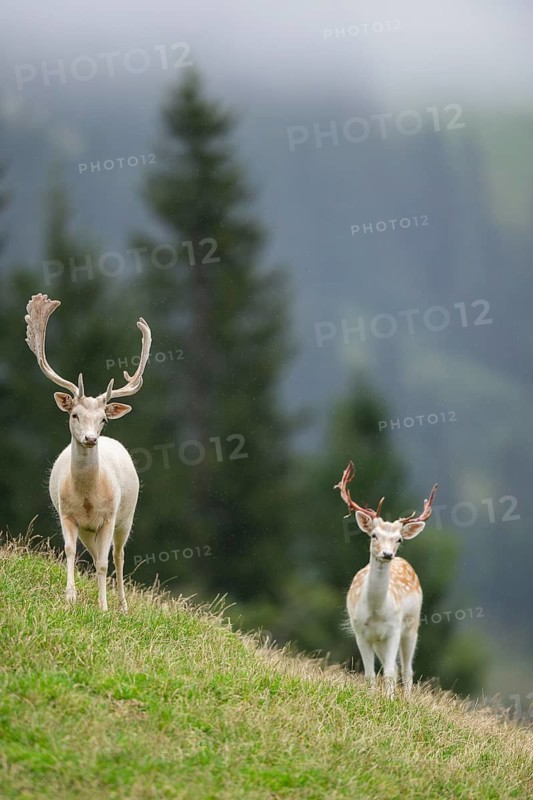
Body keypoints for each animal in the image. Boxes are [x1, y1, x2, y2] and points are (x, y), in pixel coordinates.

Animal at [25, 293, 151, 613]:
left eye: (103, 419)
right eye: (74, 415)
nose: (91, 438)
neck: (87, 499)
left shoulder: (108, 516)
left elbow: (107, 562)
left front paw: (104, 607)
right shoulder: (67, 514)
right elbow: (70, 550)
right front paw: (70, 596)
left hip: (126, 516)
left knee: (117, 556)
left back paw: (121, 605)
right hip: (89, 529)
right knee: (95, 555)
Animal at [334, 461, 437, 698]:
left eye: (399, 539)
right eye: (374, 535)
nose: (388, 554)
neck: (375, 611)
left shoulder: (393, 628)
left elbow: (389, 672)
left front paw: (389, 700)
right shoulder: (360, 631)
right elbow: (370, 674)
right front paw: (371, 697)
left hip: (412, 625)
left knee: (406, 669)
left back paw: (407, 698)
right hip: (380, 640)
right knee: (398, 668)